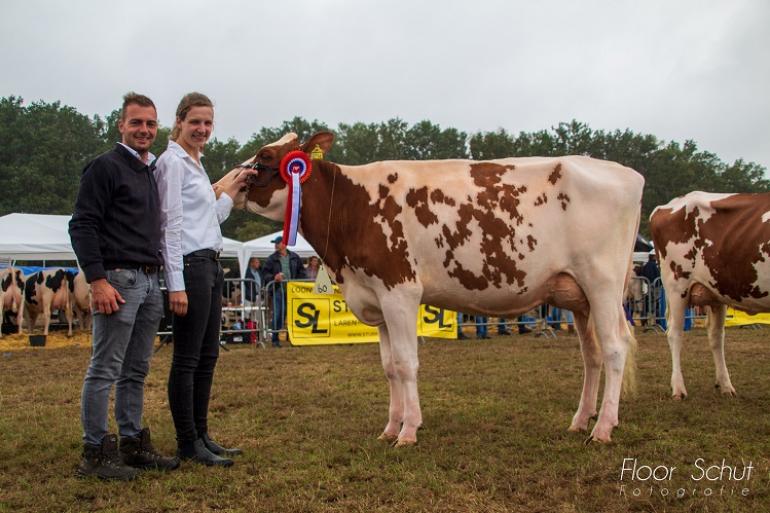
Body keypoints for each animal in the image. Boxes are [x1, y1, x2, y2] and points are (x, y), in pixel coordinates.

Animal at [230, 132, 640, 444]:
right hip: (579, 297)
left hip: (602, 283)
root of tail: (626, 174)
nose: (230, 181)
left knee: (615, 349)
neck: (354, 205)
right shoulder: (377, 298)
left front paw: (408, 431)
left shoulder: (400, 292)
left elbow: (406, 363)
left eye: (265, 157)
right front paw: (390, 427)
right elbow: (389, 367)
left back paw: (603, 428)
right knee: (592, 355)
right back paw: (581, 420)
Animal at [648, 190, 768, 398]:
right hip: (677, 285)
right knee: (675, 333)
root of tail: (669, 205)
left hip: (716, 292)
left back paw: (725, 386)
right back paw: (678, 388)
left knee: (716, 336)